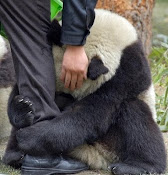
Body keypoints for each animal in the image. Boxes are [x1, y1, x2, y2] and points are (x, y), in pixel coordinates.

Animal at [1, 9, 167, 175]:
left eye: (68, 91)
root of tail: (93, 156)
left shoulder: (126, 74)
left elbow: (90, 113)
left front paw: (29, 136)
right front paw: (21, 107)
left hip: (114, 143)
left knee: (137, 117)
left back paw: (139, 166)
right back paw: (16, 155)